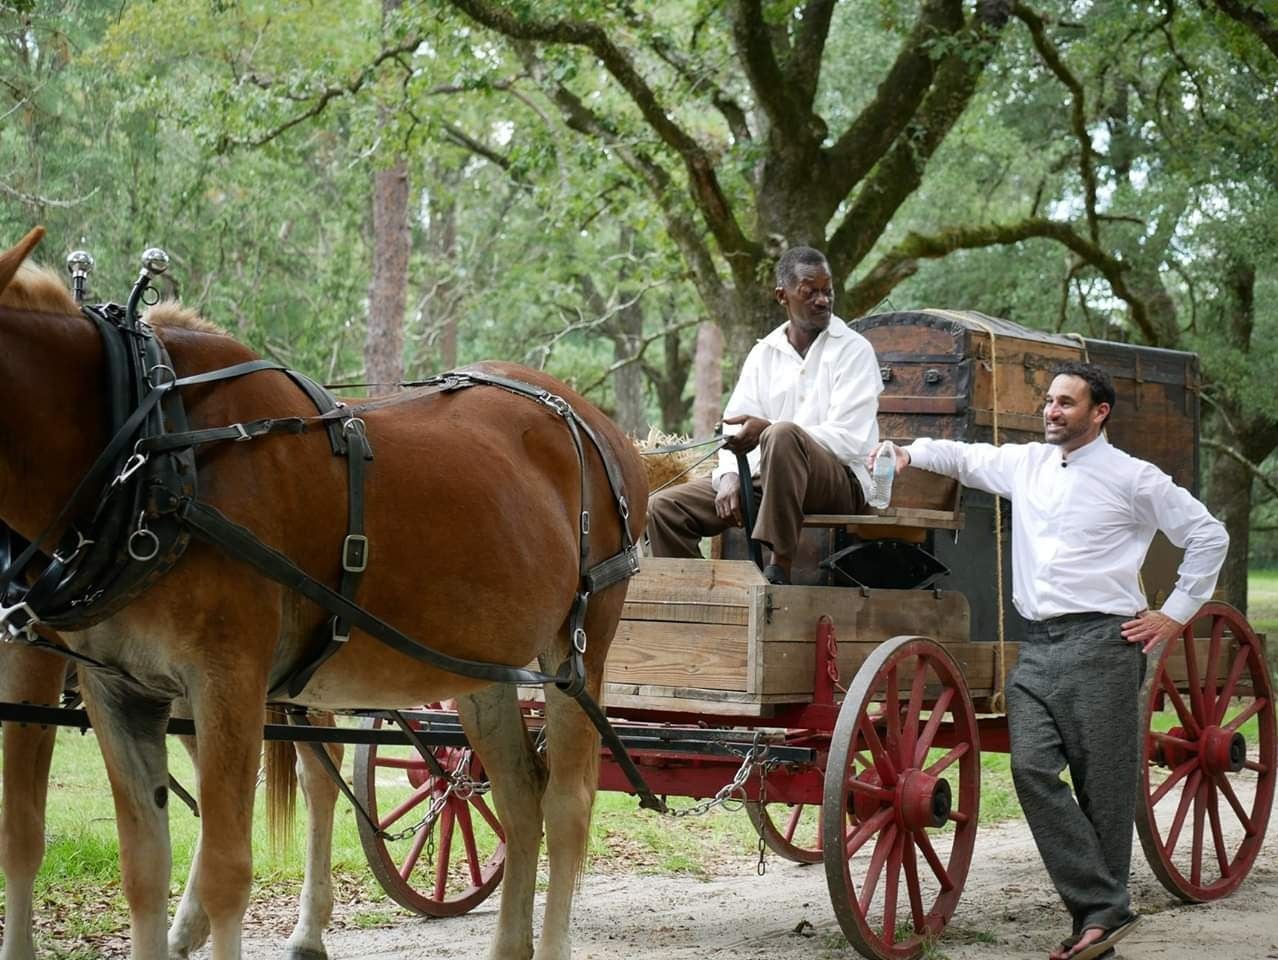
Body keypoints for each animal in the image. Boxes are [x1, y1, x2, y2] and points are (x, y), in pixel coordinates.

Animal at [0, 227, 648, 960]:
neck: (151, 448)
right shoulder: (118, 689)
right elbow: (140, 869)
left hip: (576, 655)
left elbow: (226, 871)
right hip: (483, 667)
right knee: (516, 797)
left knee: (566, 807)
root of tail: (598, 423)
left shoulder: (225, 679)